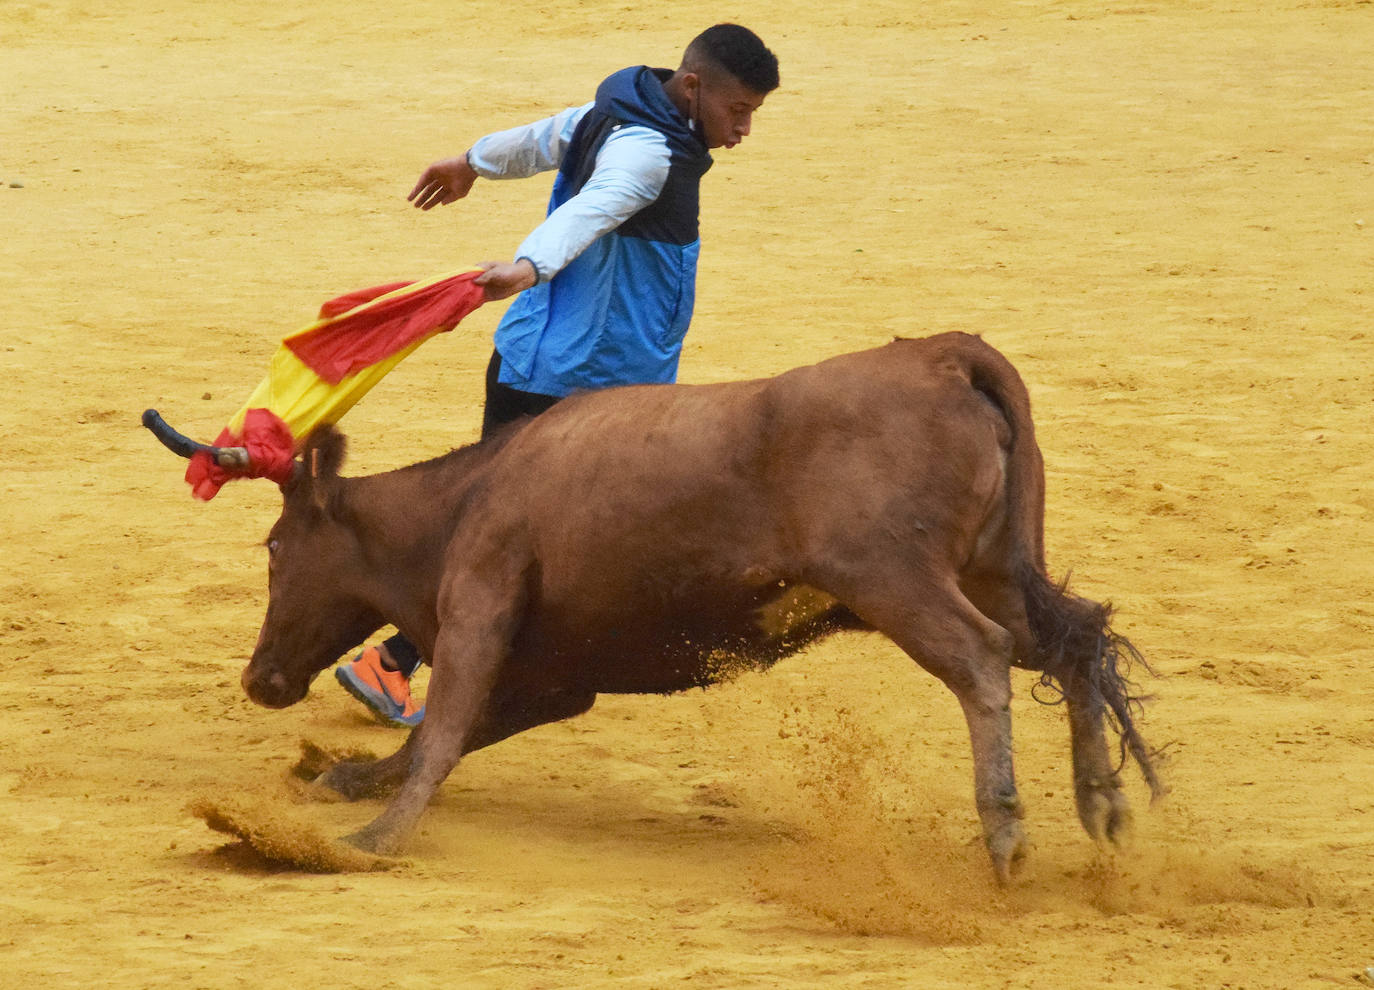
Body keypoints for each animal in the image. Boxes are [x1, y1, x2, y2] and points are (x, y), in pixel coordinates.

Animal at [239, 333, 1159, 878]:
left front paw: (375, 838)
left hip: (894, 579)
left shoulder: (479, 603)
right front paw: (347, 779)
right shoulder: (554, 680)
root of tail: (945, 355)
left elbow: (441, 731)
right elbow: (442, 735)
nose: (258, 680)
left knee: (980, 657)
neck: (469, 493)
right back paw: (1102, 806)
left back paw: (1006, 834)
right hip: (993, 571)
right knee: (1077, 638)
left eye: (275, 547)